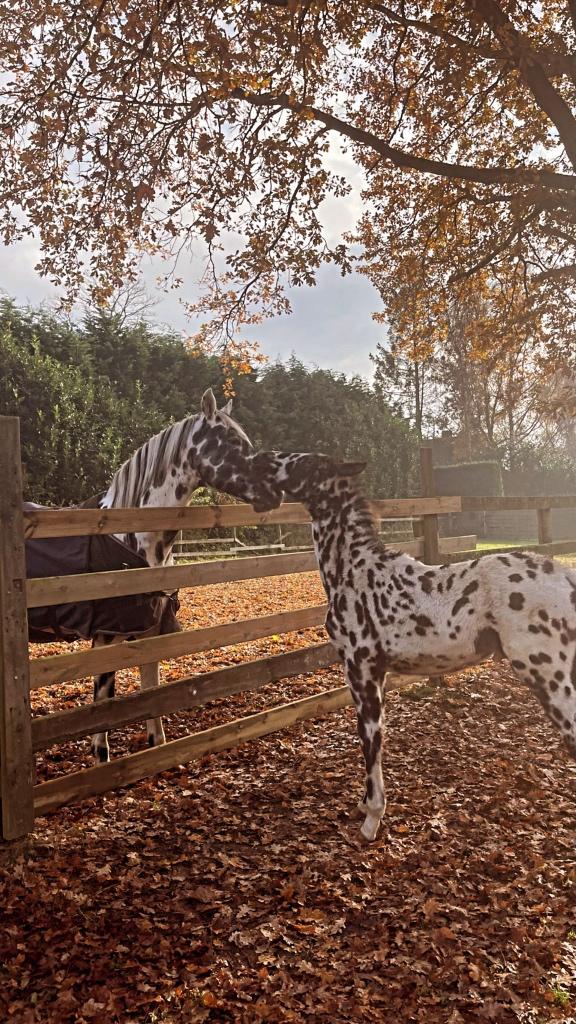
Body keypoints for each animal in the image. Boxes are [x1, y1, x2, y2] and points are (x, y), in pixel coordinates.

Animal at [248, 450, 576, 841]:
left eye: (303, 462)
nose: (260, 458)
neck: (353, 572)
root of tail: (565, 576)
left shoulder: (362, 671)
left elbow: (370, 741)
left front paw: (371, 820)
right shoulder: (377, 675)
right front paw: (365, 806)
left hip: (548, 677)